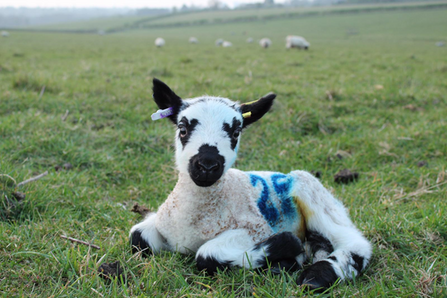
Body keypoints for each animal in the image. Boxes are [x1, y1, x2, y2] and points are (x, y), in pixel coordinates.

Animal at [130, 78, 374, 292]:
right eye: (183, 129)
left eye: (236, 132)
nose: (207, 165)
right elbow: (137, 237)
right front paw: (286, 258)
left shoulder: (255, 228)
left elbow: (206, 256)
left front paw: (285, 246)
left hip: (313, 194)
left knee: (354, 242)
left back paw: (315, 276)